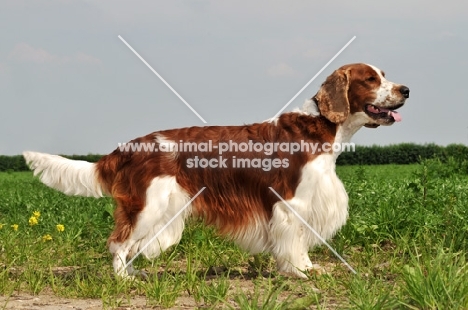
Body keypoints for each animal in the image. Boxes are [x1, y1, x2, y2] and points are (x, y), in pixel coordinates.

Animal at [23, 63, 408, 278]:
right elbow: (295, 241)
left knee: (129, 245)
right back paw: (124, 281)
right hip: (148, 206)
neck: (321, 128)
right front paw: (301, 272)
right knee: (118, 243)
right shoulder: (291, 204)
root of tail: (129, 146)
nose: (406, 89)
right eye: (371, 79)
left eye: (385, 76)